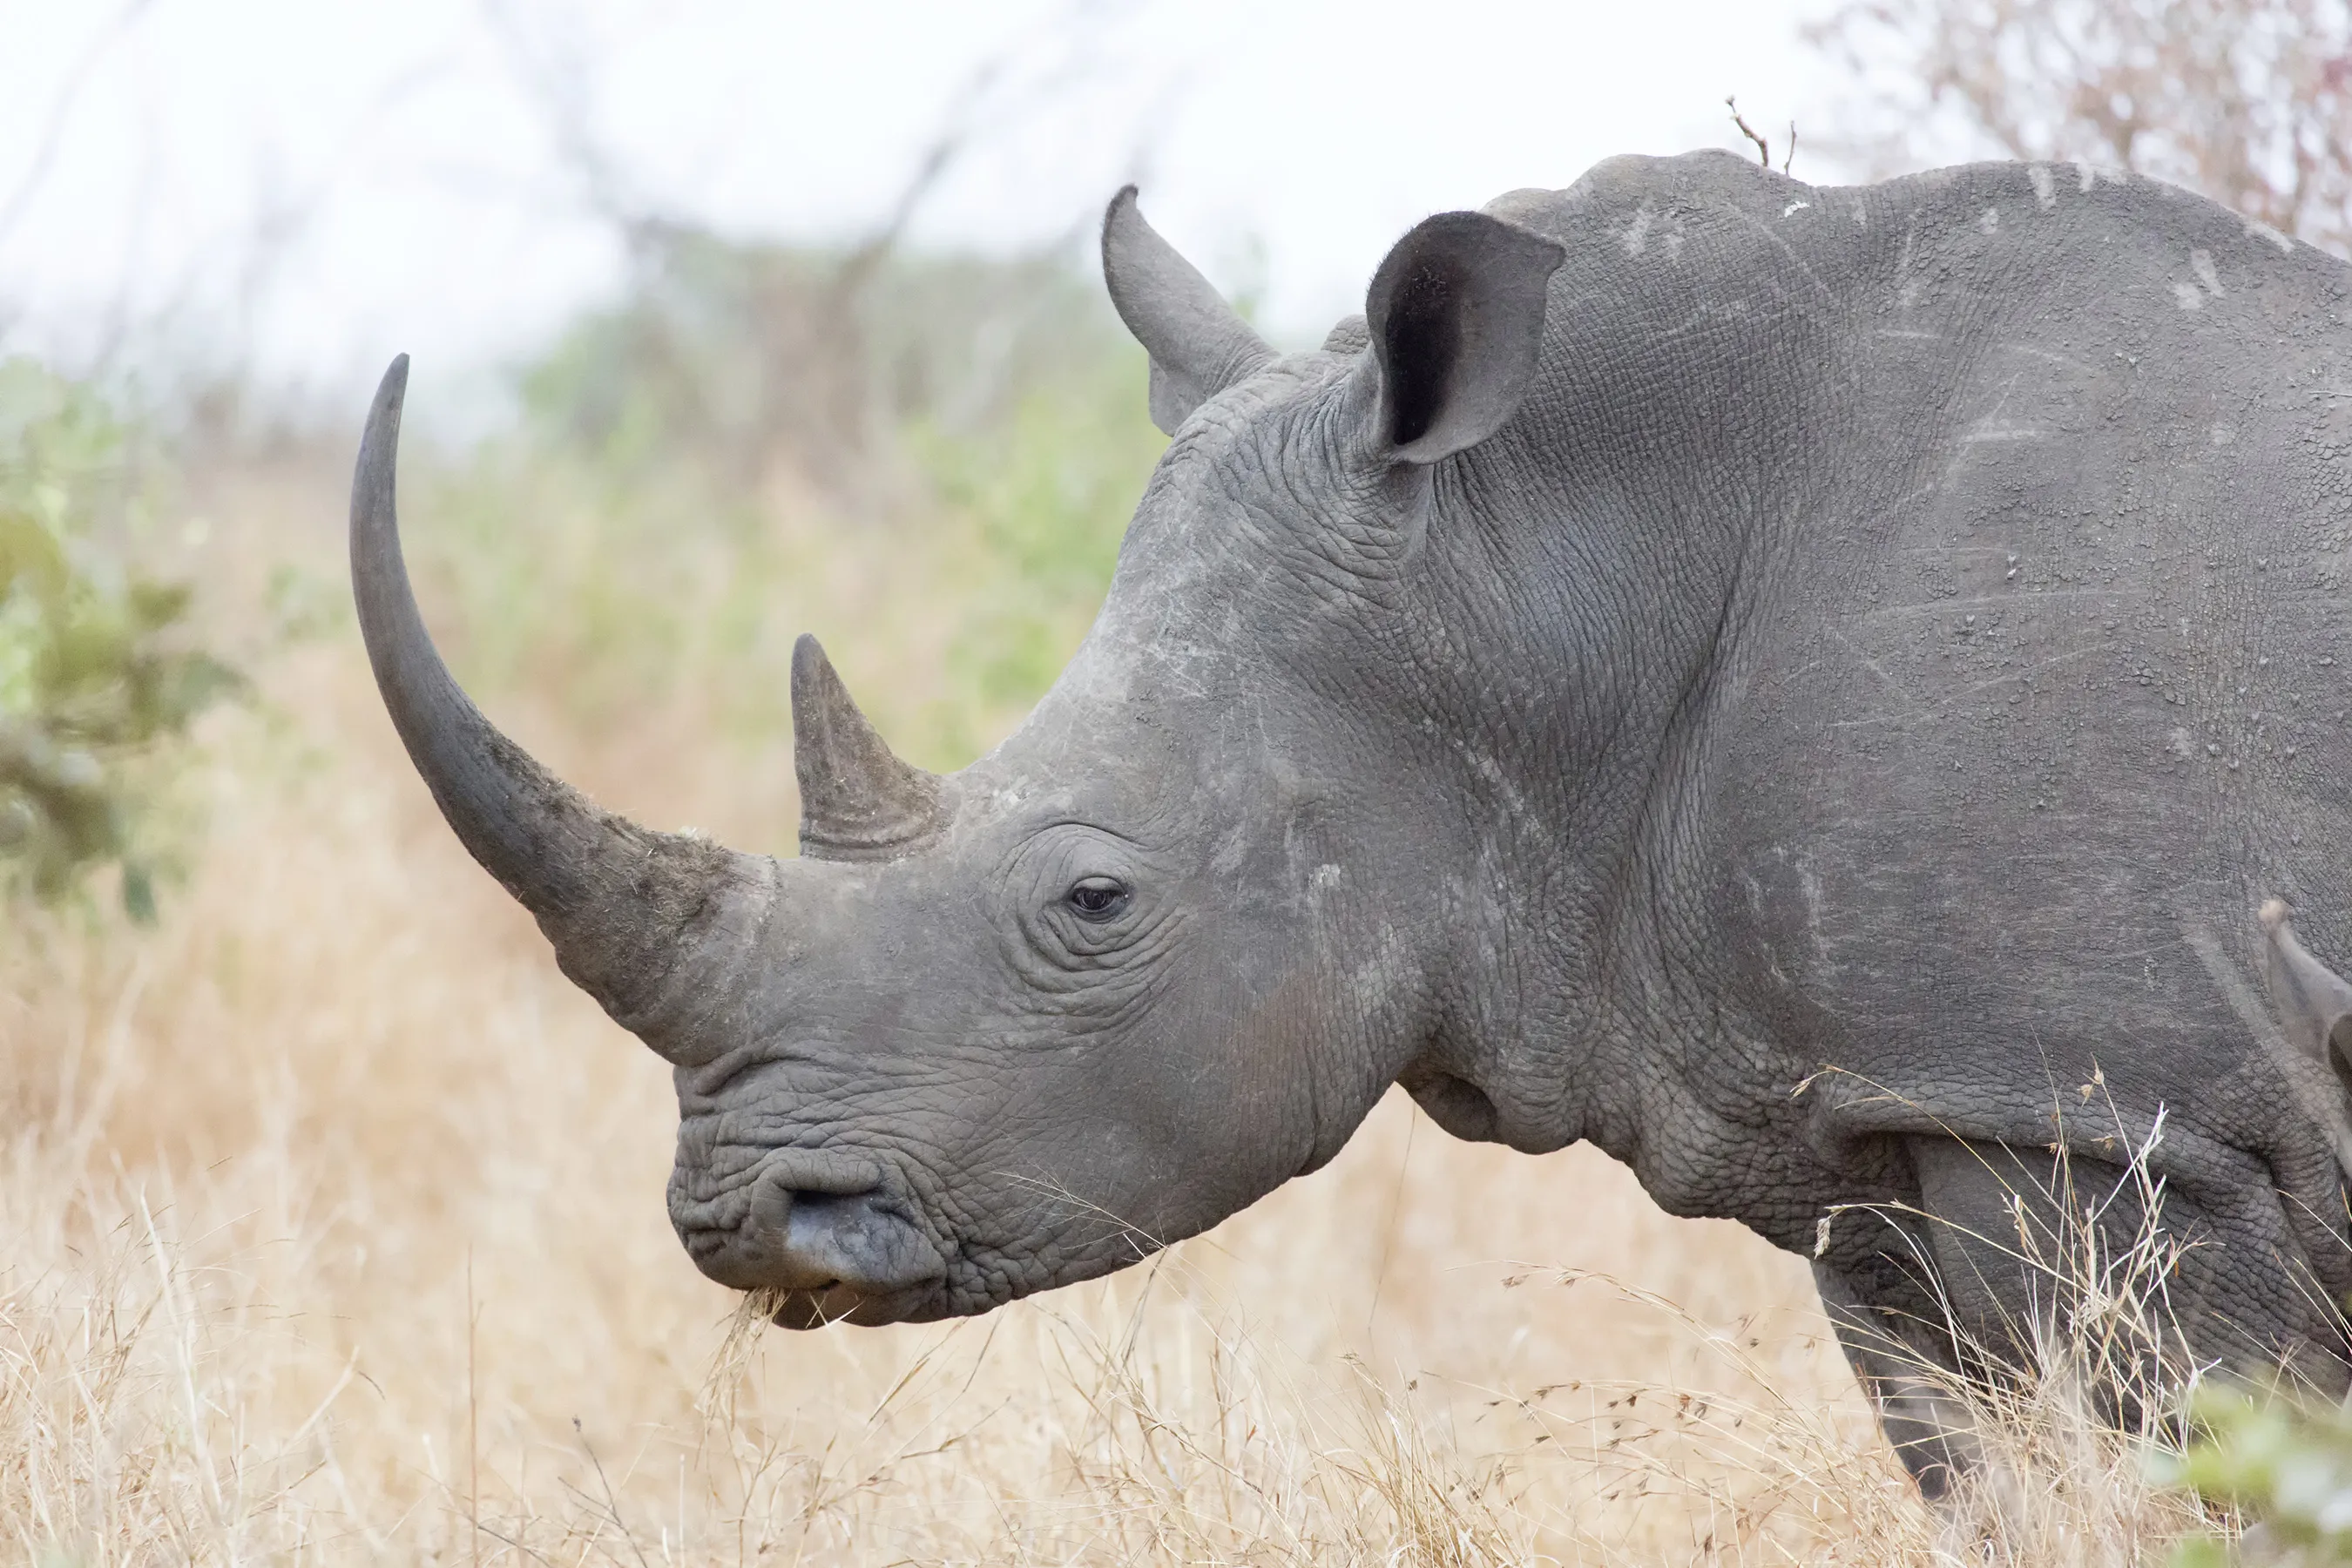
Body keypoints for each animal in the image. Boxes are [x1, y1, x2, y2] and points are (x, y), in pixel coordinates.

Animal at [351, 150, 2352, 1493]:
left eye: (1094, 898)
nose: (750, 1216)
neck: (1542, 566)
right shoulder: (1877, 1102)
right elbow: (1994, 1479)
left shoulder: (2102, 1112)